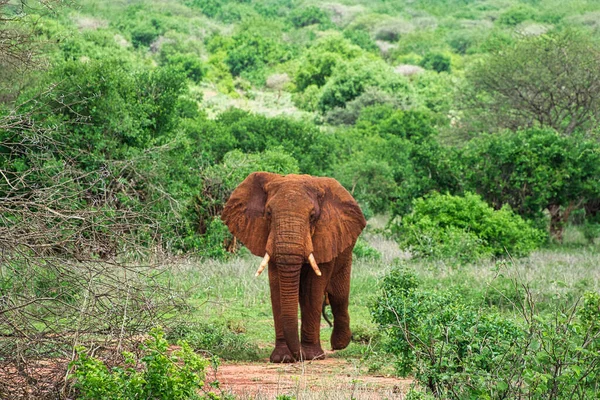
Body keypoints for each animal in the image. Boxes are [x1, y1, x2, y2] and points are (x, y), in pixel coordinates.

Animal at [223, 172, 368, 362]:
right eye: (268, 213)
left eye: (312, 216)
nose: (297, 356)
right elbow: (277, 288)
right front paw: (282, 358)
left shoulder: (325, 237)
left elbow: (312, 290)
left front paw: (312, 356)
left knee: (338, 295)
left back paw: (339, 345)